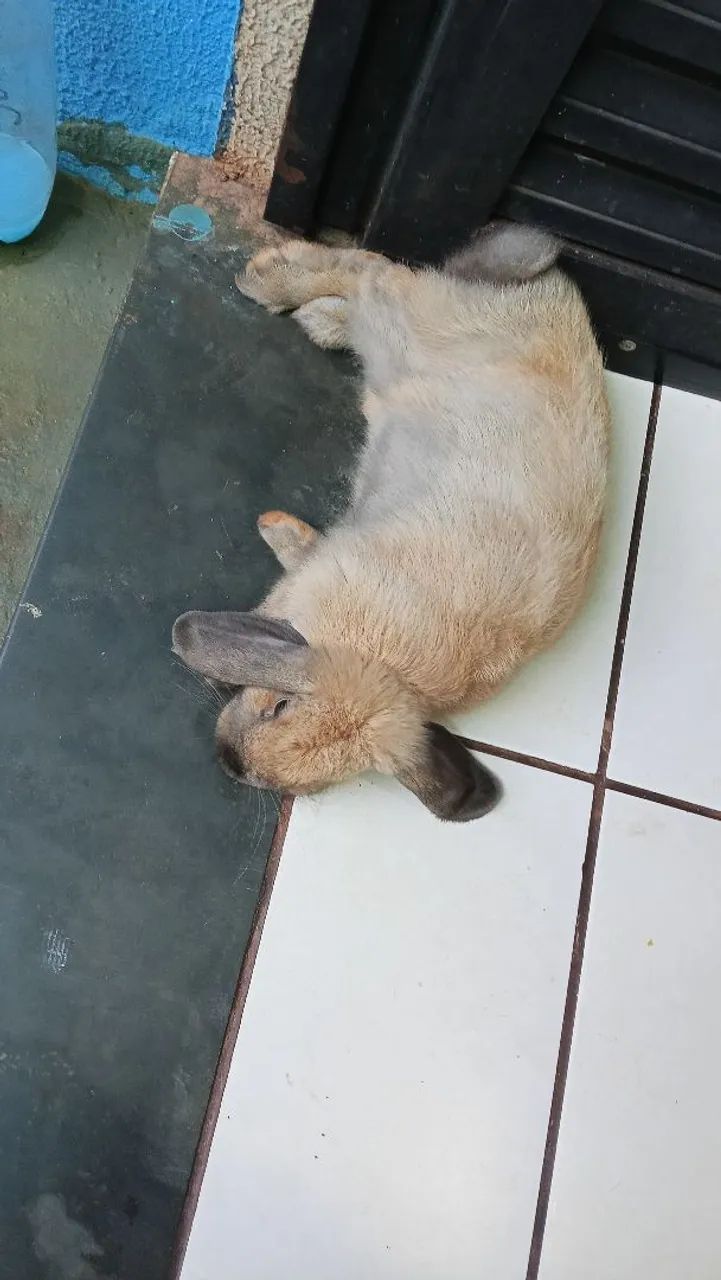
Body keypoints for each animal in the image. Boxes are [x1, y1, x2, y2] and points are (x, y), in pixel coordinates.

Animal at [172, 223, 610, 821]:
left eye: (314, 787)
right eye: (279, 705)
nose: (229, 761)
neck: (377, 657)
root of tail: (551, 289)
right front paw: (273, 528)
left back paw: (316, 320)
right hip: (402, 324)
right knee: (367, 268)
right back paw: (267, 281)